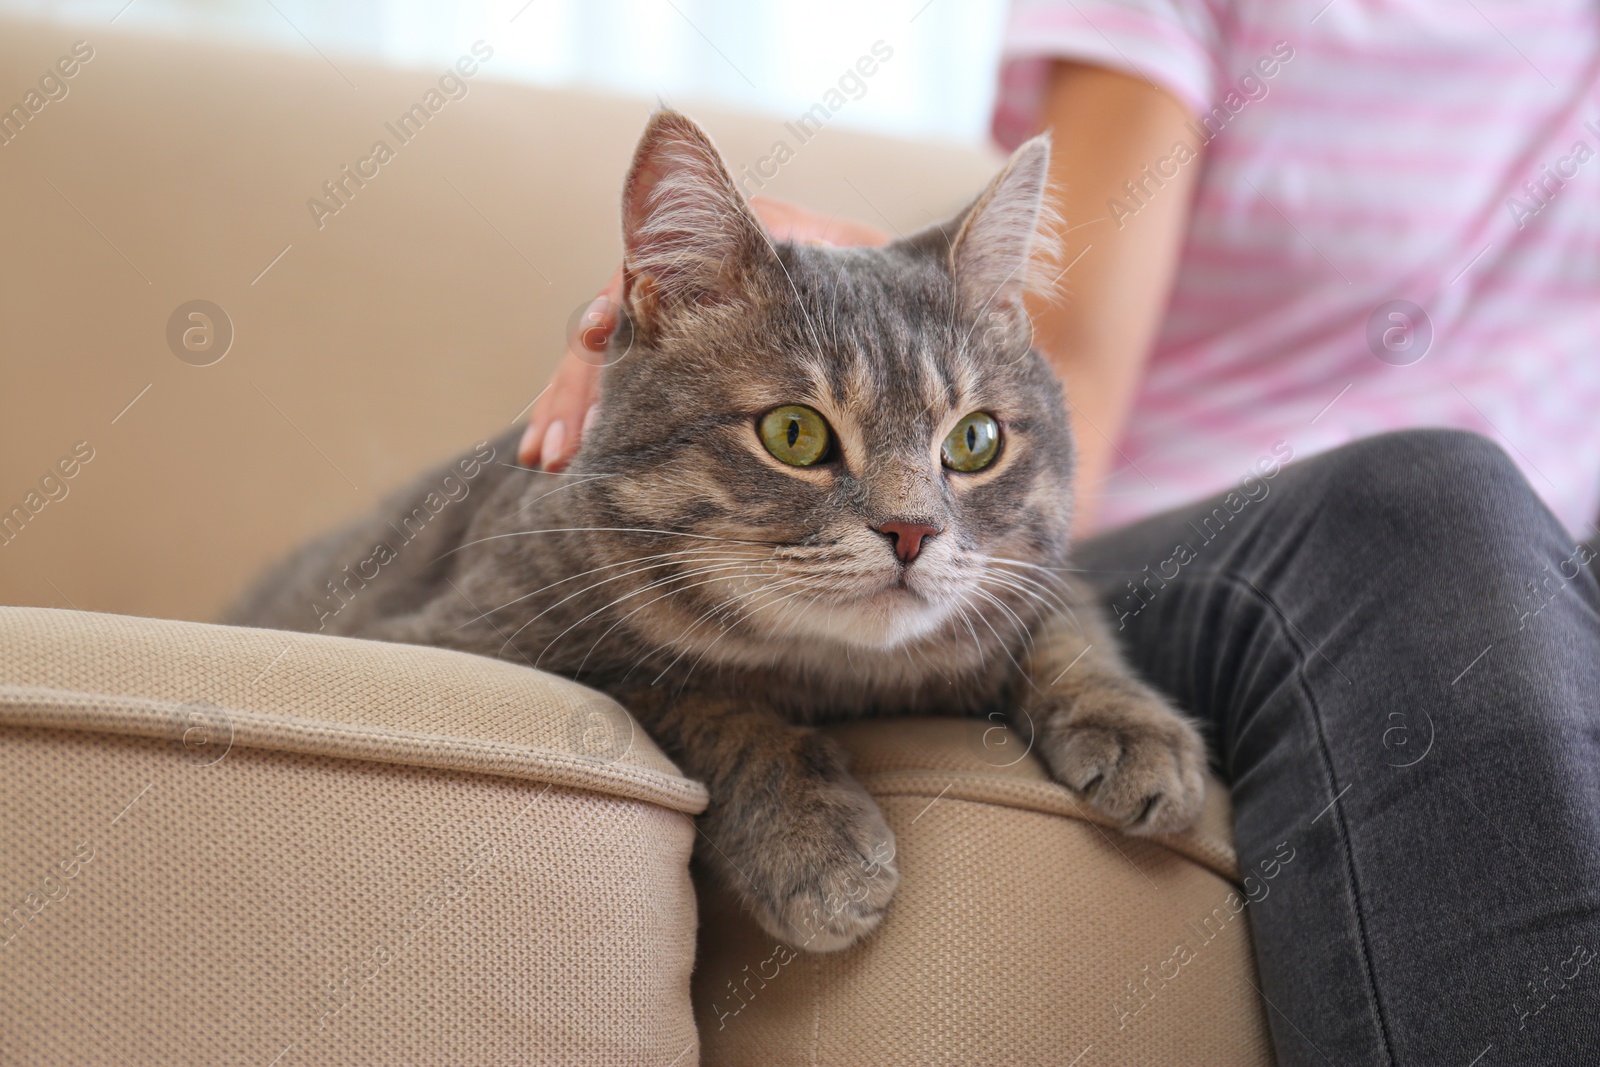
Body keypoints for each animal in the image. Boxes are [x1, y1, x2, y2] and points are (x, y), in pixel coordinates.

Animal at [232, 110, 1203, 953]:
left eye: (975, 441)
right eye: (794, 433)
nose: (911, 530)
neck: (839, 674)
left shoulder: (1034, 578)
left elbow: (1068, 629)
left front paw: (1141, 734)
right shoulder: (463, 636)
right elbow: (694, 694)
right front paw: (809, 839)